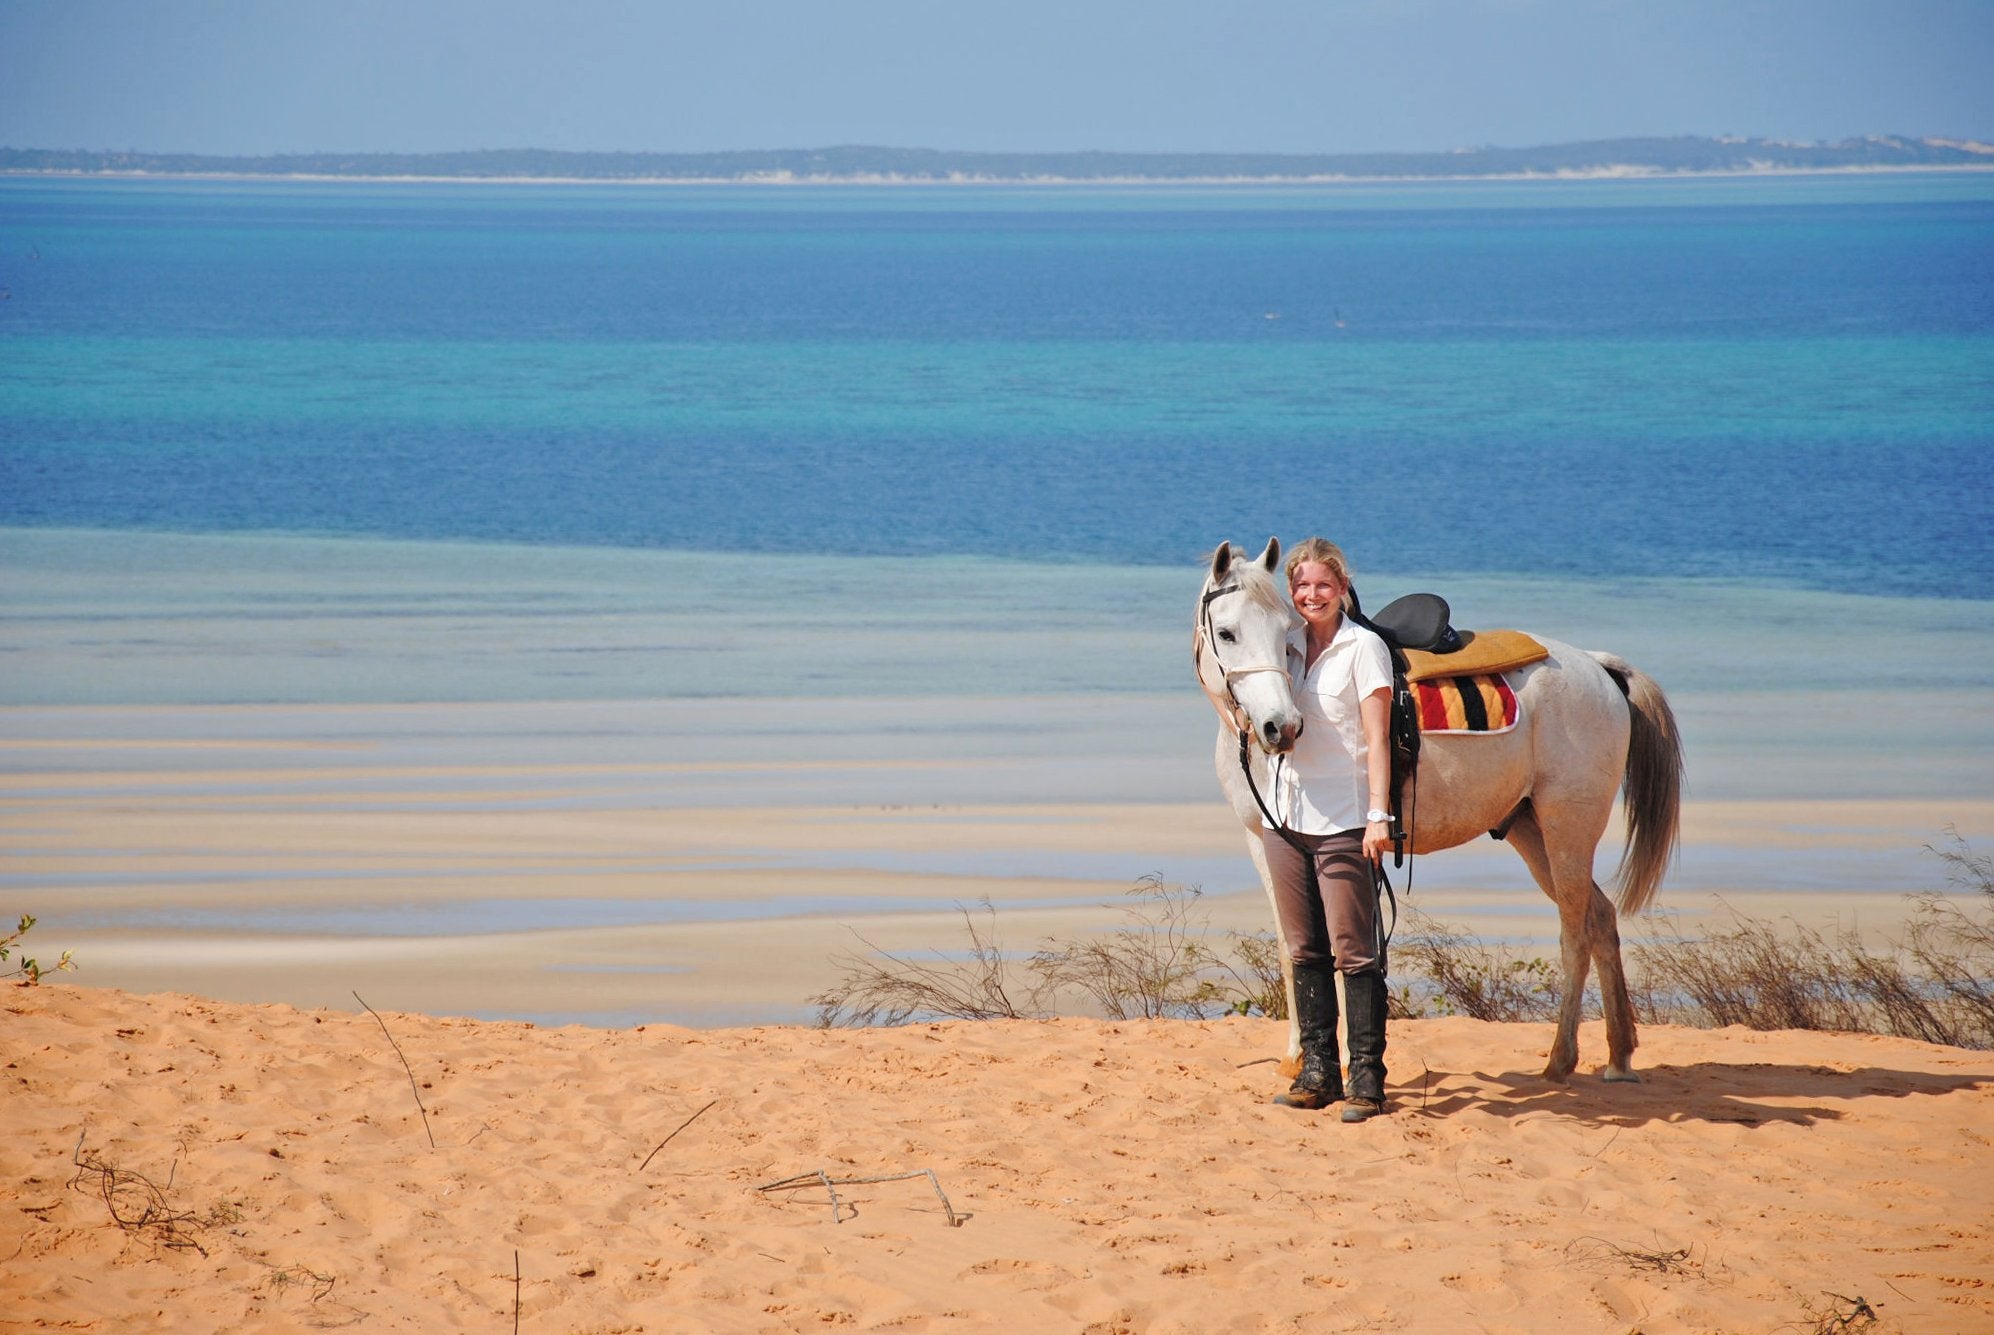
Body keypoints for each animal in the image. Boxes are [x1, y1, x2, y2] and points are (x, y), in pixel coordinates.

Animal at [1196, 541, 1682, 1083]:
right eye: (1227, 633)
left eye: (1286, 634)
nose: (1281, 727)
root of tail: (1598, 668)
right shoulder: (1265, 839)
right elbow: (1291, 945)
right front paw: (1297, 1056)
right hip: (1532, 831)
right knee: (1600, 918)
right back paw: (1619, 1056)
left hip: (1568, 828)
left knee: (1575, 931)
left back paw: (1561, 1058)